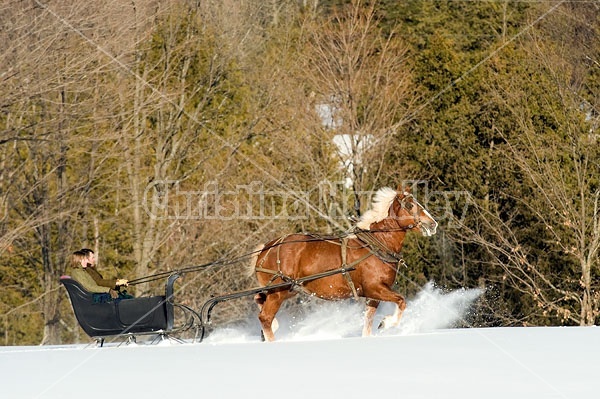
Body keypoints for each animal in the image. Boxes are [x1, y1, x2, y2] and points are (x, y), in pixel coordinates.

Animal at [246, 186, 438, 342]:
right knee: (265, 317)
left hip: (288, 289)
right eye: (410, 205)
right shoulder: (375, 288)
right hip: (279, 291)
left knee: (259, 301)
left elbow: (368, 323)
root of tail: (265, 249)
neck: (377, 244)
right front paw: (387, 322)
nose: (433, 224)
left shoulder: (374, 296)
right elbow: (402, 301)